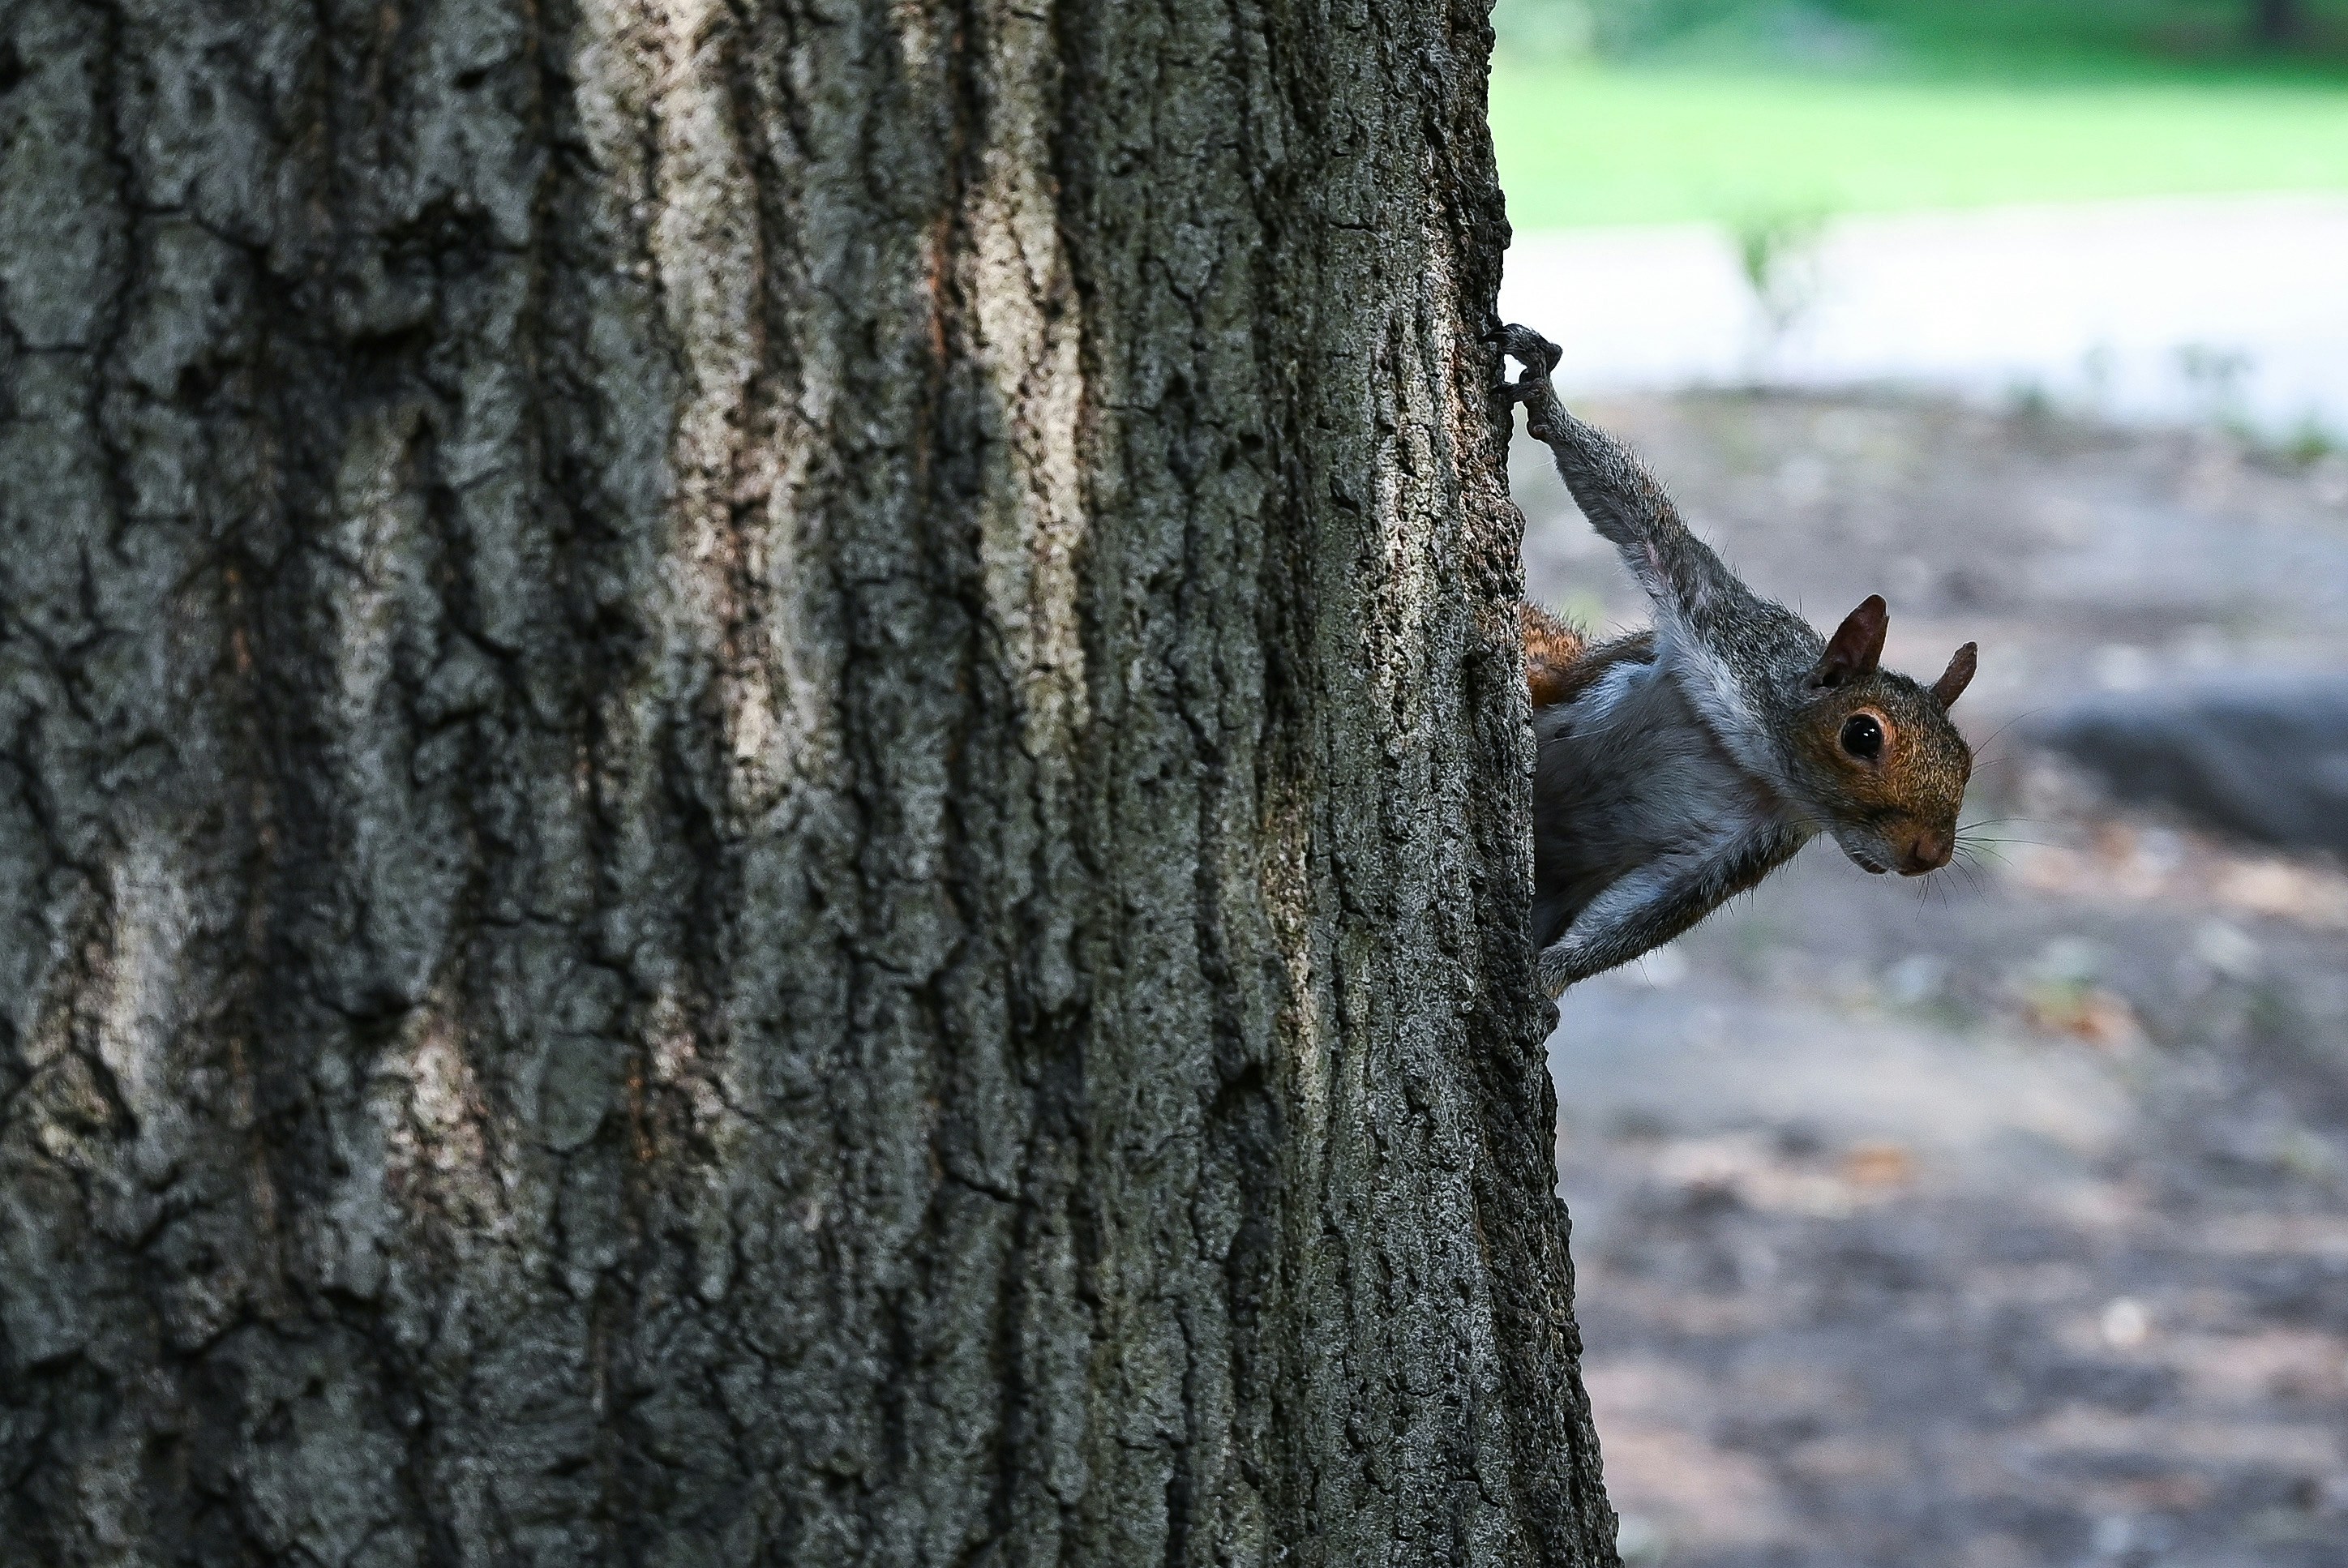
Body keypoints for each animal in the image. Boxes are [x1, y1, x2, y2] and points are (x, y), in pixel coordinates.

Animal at [1489, 324, 1979, 996]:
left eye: (1967, 762)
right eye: (1862, 735)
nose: (1931, 854)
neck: (1754, 761)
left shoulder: (1743, 843)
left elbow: (1647, 916)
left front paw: (1547, 977)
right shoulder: (1723, 622)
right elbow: (1642, 520)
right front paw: (1547, 398)